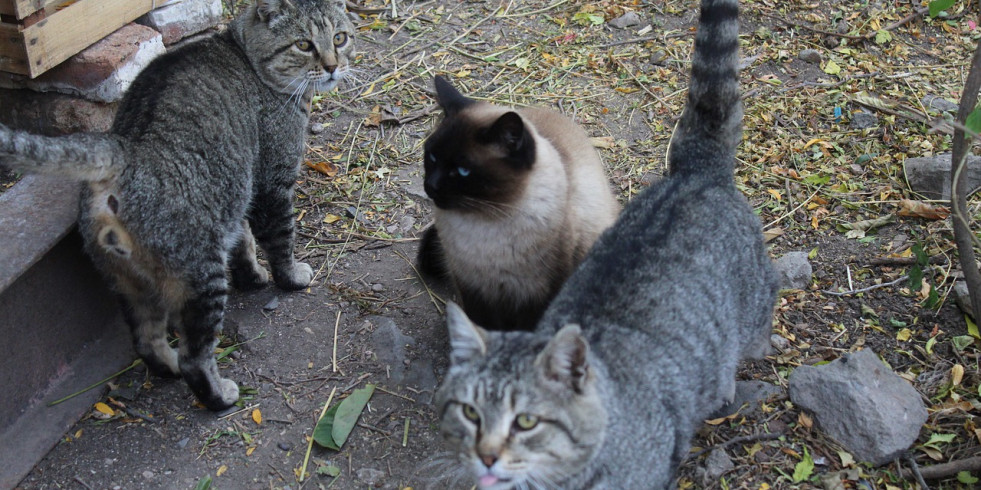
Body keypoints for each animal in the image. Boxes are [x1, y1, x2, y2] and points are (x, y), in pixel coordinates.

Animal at [0, 0, 356, 412]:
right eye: (303, 44)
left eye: (340, 38)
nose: (333, 66)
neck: (244, 53)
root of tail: (123, 149)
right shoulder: (271, 182)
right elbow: (279, 240)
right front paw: (291, 276)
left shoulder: (236, 194)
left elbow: (244, 242)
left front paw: (252, 277)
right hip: (201, 275)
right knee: (195, 357)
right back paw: (220, 395)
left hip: (132, 284)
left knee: (146, 340)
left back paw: (167, 365)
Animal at [416, 75, 616, 330]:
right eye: (431, 157)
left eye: (462, 171)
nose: (430, 186)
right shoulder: (472, 288)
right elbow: (480, 325)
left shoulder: (537, 295)